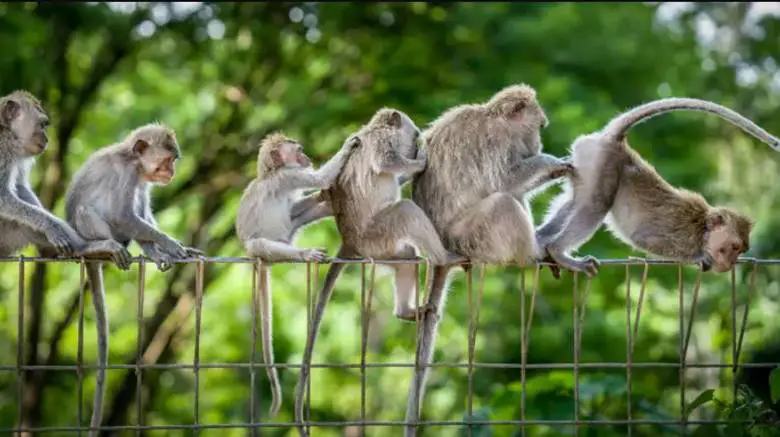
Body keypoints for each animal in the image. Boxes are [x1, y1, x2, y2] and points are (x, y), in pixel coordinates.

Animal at [235, 130, 360, 416]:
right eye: (299, 150)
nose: (307, 156)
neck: (273, 170)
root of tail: (264, 261)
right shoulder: (289, 175)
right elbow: (319, 177)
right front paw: (349, 145)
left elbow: (299, 204)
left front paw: (325, 197)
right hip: (267, 248)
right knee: (260, 244)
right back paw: (304, 254)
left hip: (288, 234)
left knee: (294, 216)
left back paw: (327, 207)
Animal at [290, 106, 464, 436]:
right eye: (413, 134)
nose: (415, 146)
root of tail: (350, 240)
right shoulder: (382, 141)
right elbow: (386, 163)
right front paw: (420, 160)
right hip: (378, 233)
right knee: (405, 211)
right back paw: (444, 257)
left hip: (379, 249)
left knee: (407, 258)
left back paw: (407, 311)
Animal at [402, 83, 572, 434]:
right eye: (538, 126)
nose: (539, 143)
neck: (495, 119)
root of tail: (441, 251)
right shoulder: (497, 144)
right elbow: (504, 181)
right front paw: (549, 161)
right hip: (471, 237)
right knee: (503, 203)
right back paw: (534, 253)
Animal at [536, 97, 780, 278]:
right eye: (734, 247)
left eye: (741, 251)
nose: (730, 264)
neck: (702, 228)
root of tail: (617, 142)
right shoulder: (683, 235)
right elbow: (644, 238)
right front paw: (697, 258)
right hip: (603, 162)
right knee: (596, 205)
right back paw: (558, 252)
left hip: (587, 164)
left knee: (575, 201)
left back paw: (541, 241)